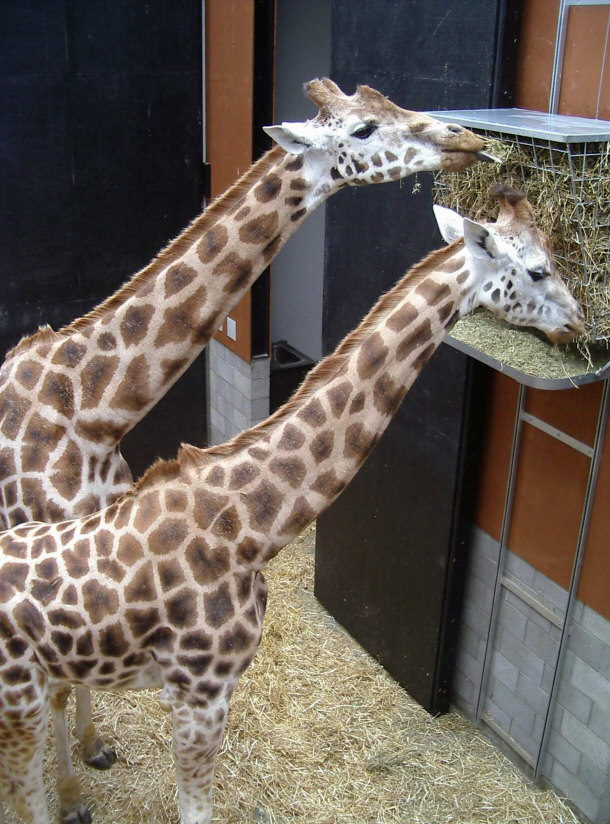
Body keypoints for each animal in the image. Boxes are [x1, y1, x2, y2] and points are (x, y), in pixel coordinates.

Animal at [0, 185, 580, 824]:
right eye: (538, 268)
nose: (579, 323)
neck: (245, 521)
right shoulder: (199, 692)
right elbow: (194, 811)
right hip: (20, 704)